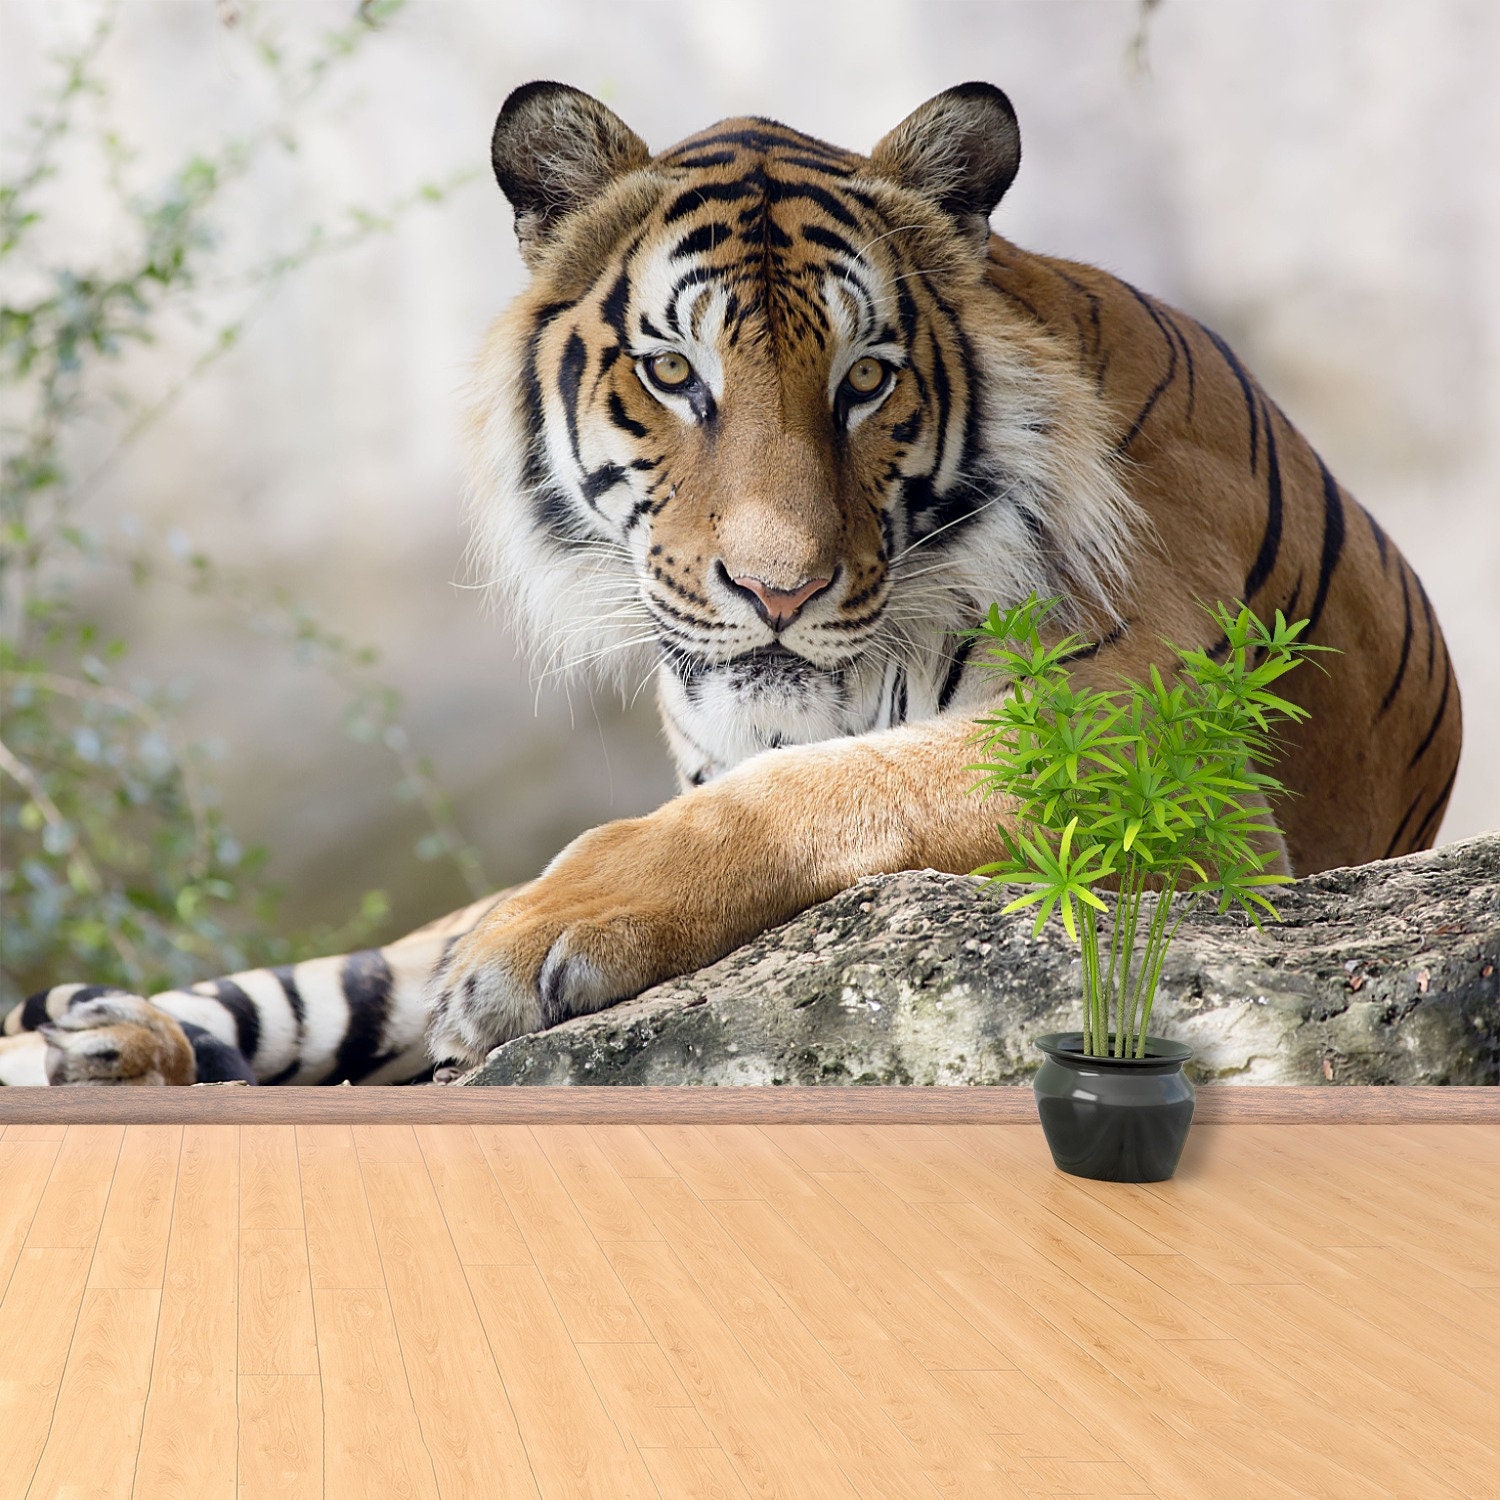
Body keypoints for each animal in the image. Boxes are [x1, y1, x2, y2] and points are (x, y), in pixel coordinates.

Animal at [0, 80, 1462, 1087]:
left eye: (866, 379)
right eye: (673, 374)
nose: (779, 589)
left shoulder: (1162, 764)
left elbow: (830, 787)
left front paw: (552, 936)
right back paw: (97, 1042)